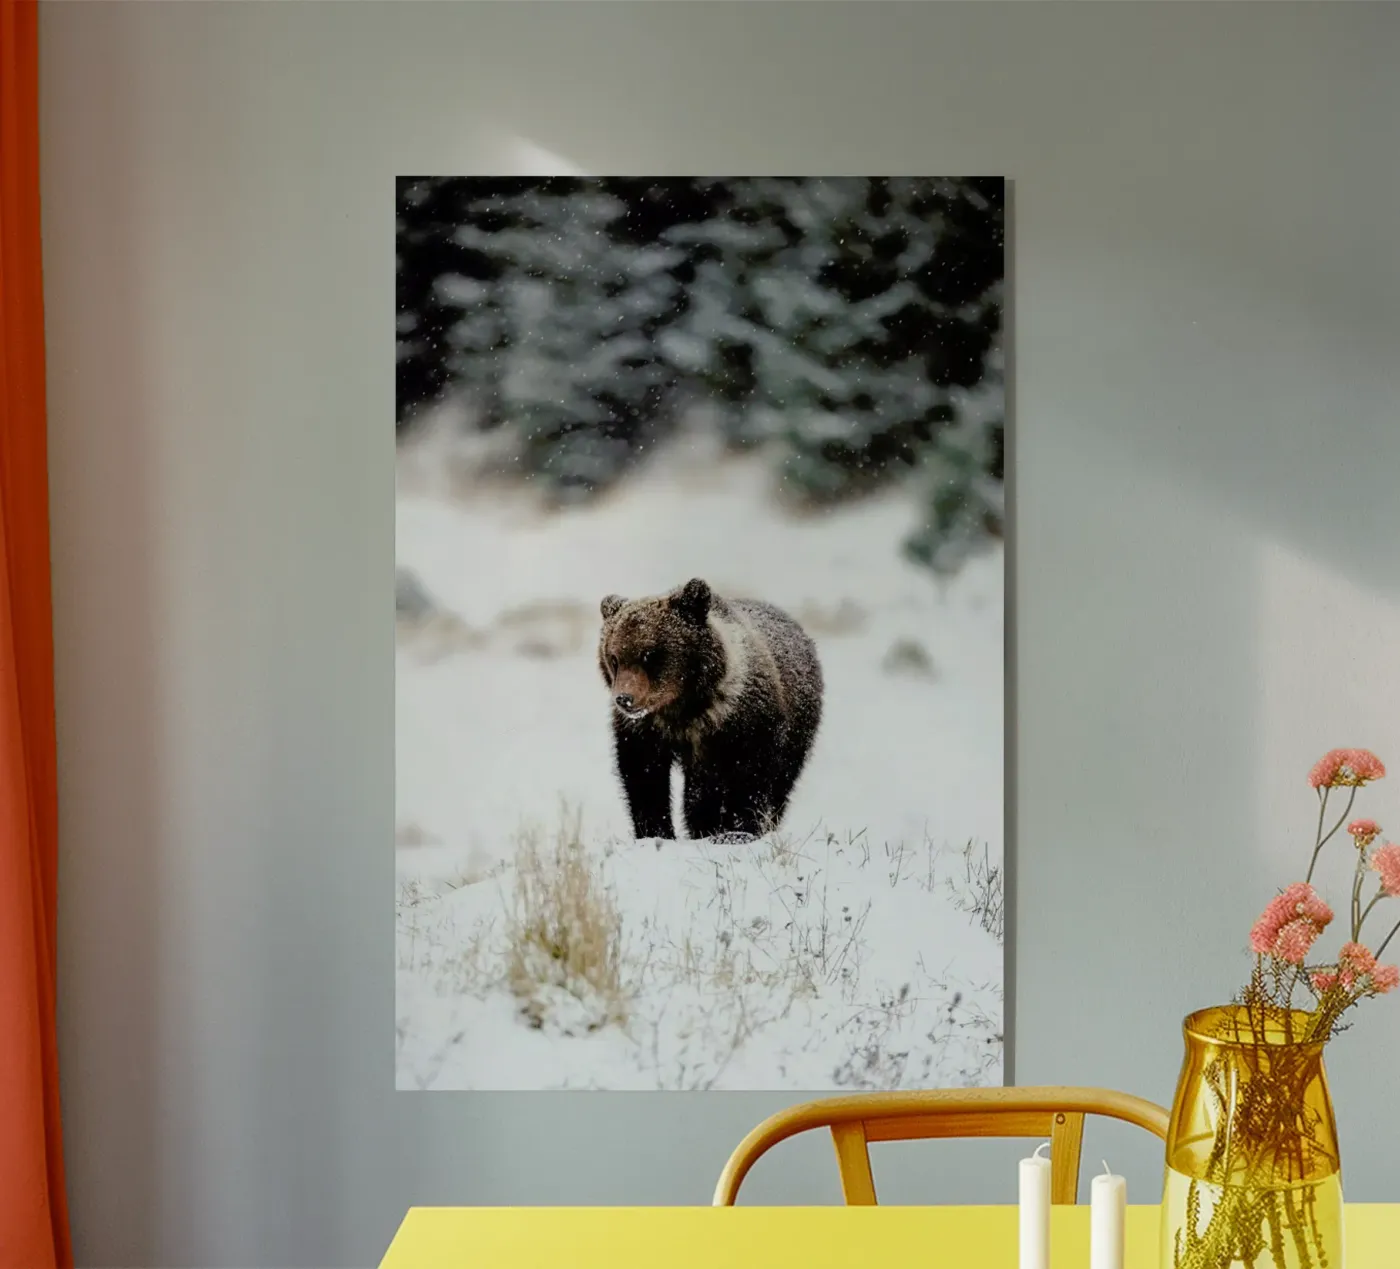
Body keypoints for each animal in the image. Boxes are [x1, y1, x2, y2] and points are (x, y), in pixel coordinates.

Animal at [597, 577, 823, 842]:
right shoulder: (646, 731)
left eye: (649, 654)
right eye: (614, 658)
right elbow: (644, 778)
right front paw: (657, 832)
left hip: (799, 729)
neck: (684, 709)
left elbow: (750, 777)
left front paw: (738, 830)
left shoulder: (745, 723)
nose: (625, 699)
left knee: (781, 782)